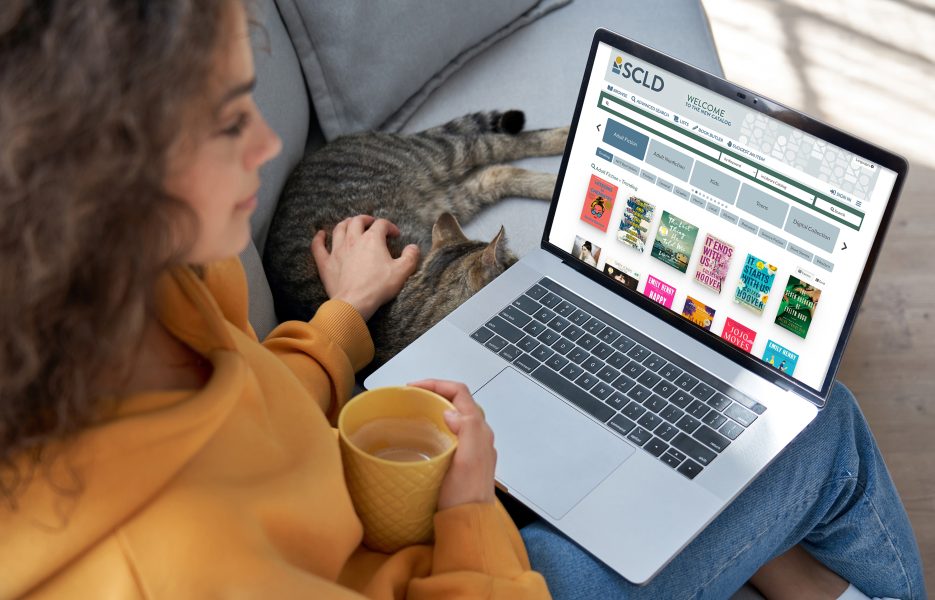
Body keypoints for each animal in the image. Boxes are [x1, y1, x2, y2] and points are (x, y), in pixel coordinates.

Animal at [266, 110, 572, 368]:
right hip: (454, 191)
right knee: (497, 169)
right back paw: (554, 181)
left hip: (443, 160)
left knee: (499, 146)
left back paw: (565, 144)